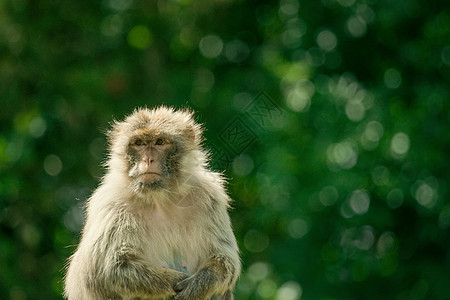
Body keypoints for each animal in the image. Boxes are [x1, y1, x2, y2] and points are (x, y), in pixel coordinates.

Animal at [63, 106, 241, 298]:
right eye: (139, 143)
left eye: (160, 142)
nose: (148, 160)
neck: (159, 198)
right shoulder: (111, 203)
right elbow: (103, 271)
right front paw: (172, 280)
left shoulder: (210, 197)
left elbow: (224, 262)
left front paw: (196, 287)